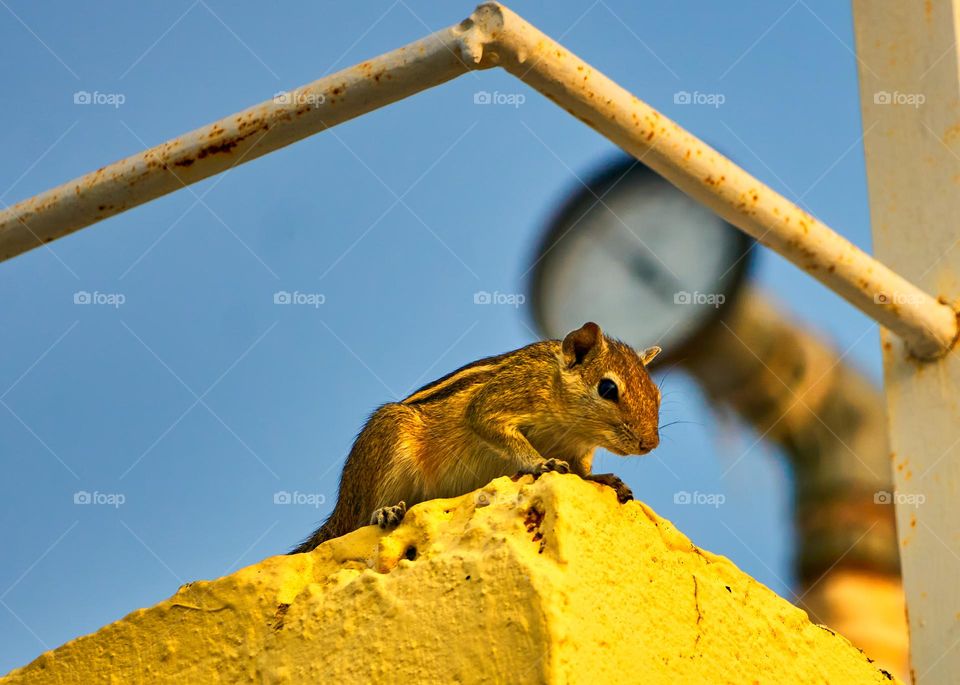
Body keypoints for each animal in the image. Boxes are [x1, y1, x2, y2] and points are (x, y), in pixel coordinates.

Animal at [290, 322, 662, 554]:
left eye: (656, 394)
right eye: (608, 388)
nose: (650, 444)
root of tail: (341, 506)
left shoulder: (581, 450)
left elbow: (583, 472)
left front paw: (604, 478)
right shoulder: (498, 402)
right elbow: (489, 424)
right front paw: (540, 462)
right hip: (389, 444)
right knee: (361, 519)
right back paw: (385, 511)